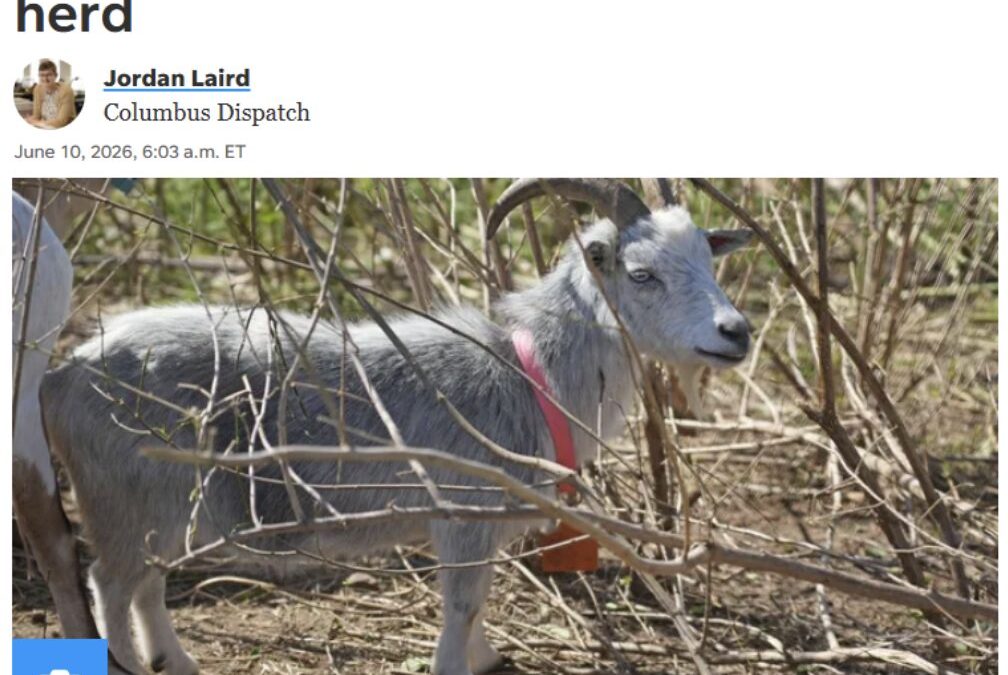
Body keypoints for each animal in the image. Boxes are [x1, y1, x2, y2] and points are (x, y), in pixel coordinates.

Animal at [40, 178, 753, 675]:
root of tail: (62, 374)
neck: (529, 372)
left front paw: (487, 657)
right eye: (641, 273)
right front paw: (458, 663)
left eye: (709, 260)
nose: (736, 333)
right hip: (124, 497)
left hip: (159, 506)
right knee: (110, 583)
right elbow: (462, 604)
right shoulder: (463, 515)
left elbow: (477, 601)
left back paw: (176, 662)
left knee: (147, 583)